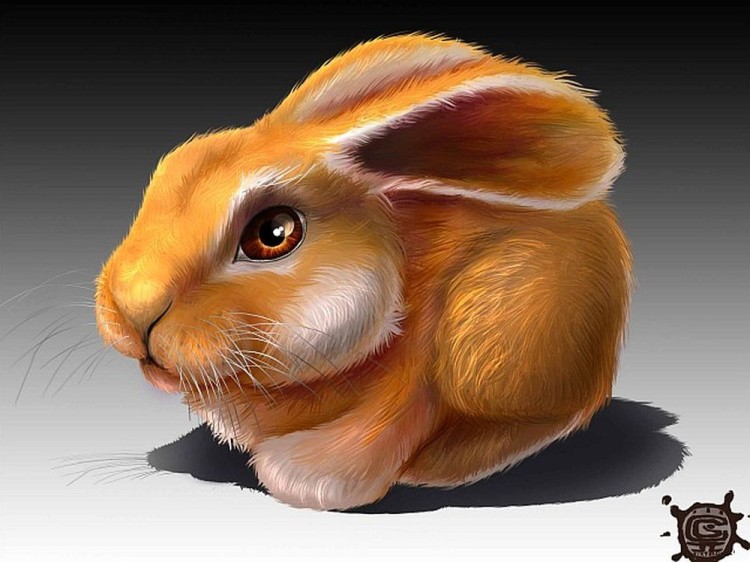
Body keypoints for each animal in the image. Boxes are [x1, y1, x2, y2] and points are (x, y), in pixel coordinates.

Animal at [95, 33, 633, 510]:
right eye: (167, 171)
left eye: (274, 233)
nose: (133, 310)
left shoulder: (415, 384)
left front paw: (308, 475)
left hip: (490, 330)